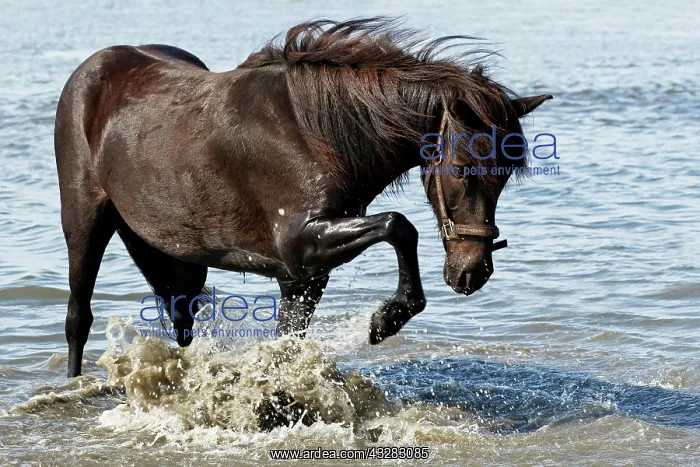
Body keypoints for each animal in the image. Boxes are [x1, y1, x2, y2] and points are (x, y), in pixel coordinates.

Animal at [54, 18, 552, 377]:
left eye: (505, 177)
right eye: (464, 171)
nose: (473, 272)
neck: (314, 133)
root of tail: (91, 70)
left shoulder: (303, 274)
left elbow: (288, 342)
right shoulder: (304, 243)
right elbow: (399, 226)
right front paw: (385, 320)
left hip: (182, 256)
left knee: (181, 318)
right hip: (84, 225)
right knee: (79, 318)